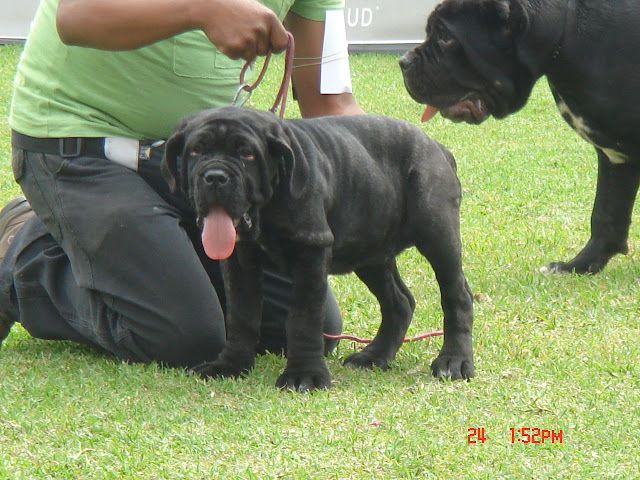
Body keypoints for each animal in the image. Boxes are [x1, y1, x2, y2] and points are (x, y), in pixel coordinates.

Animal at [160, 105, 472, 390]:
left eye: (246, 153)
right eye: (196, 151)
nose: (215, 176)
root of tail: (438, 148)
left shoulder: (310, 253)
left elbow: (304, 319)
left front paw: (304, 375)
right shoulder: (239, 260)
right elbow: (241, 315)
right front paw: (230, 365)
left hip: (437, 234)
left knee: (457, 295)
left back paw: (454, 361)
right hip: (370, 252)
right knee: (399, 301)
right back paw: (374, 356)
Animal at [400, 0, 640, 274]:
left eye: (446, 37)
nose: (403, 61)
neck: (565, 35)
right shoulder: (614, 156)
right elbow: (606, 213)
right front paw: (580, 265)